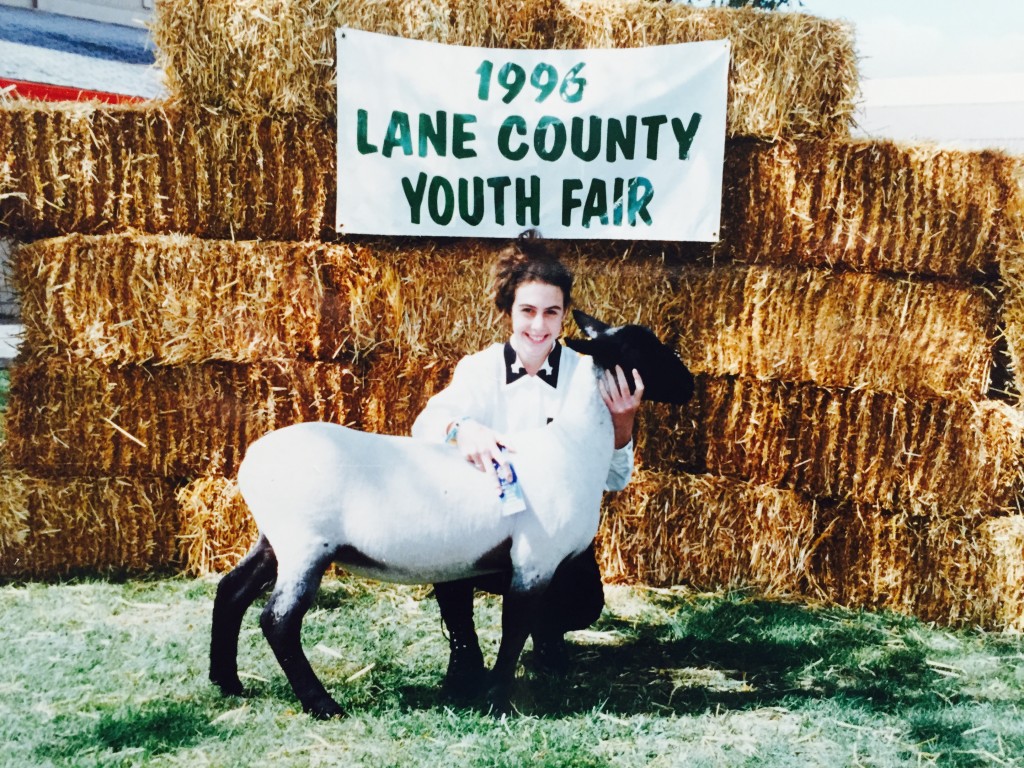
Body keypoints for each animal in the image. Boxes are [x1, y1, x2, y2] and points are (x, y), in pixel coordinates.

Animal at [205, 309, 696, 720]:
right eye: (644, 348)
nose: (691, 384)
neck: (573, 446)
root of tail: (251, 461)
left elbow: (529, 624)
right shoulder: (534, 558)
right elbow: (515, 626)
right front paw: (496, 699)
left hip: (274, 539)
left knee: (231, 591)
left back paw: (227, 682)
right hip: (305, 543)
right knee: (278, 621)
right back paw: (322, 704)